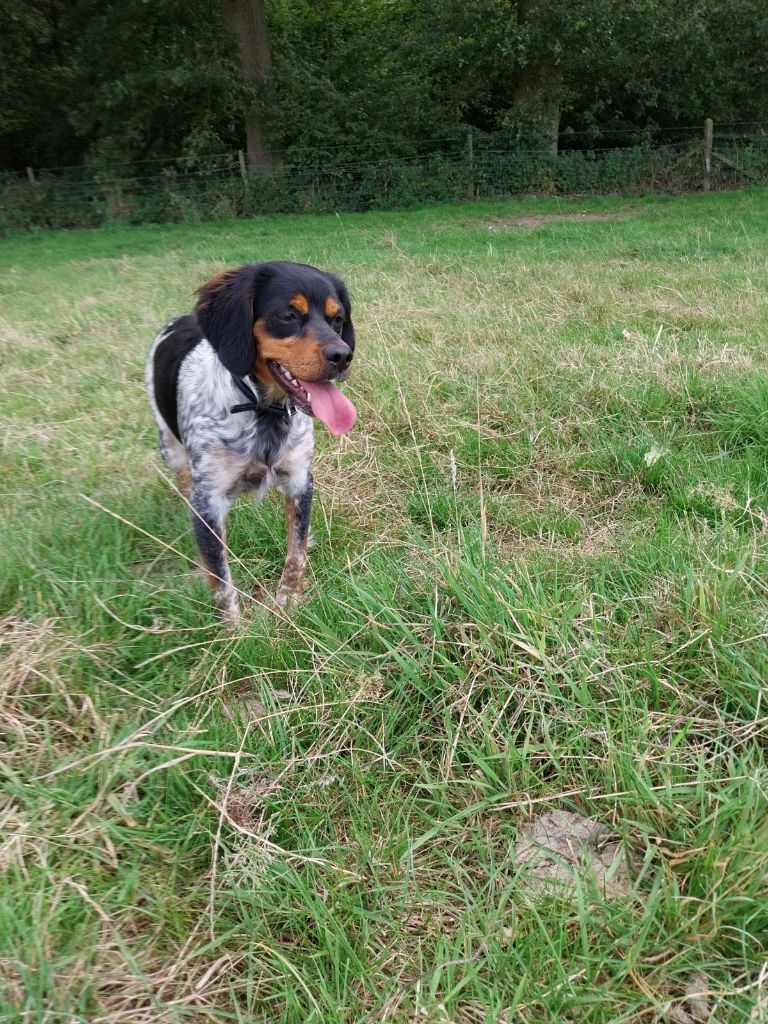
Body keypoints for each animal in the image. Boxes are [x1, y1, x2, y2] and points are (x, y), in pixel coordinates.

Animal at [145, 260, 358, 618]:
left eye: (337, 318)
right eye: (288, 315)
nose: (342, 356)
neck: (263, 411)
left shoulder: (300, 480)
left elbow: (296, 552)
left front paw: (288, 601)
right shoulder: (209, 500)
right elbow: (221, 581)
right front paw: (234, 629)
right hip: (170, 448)